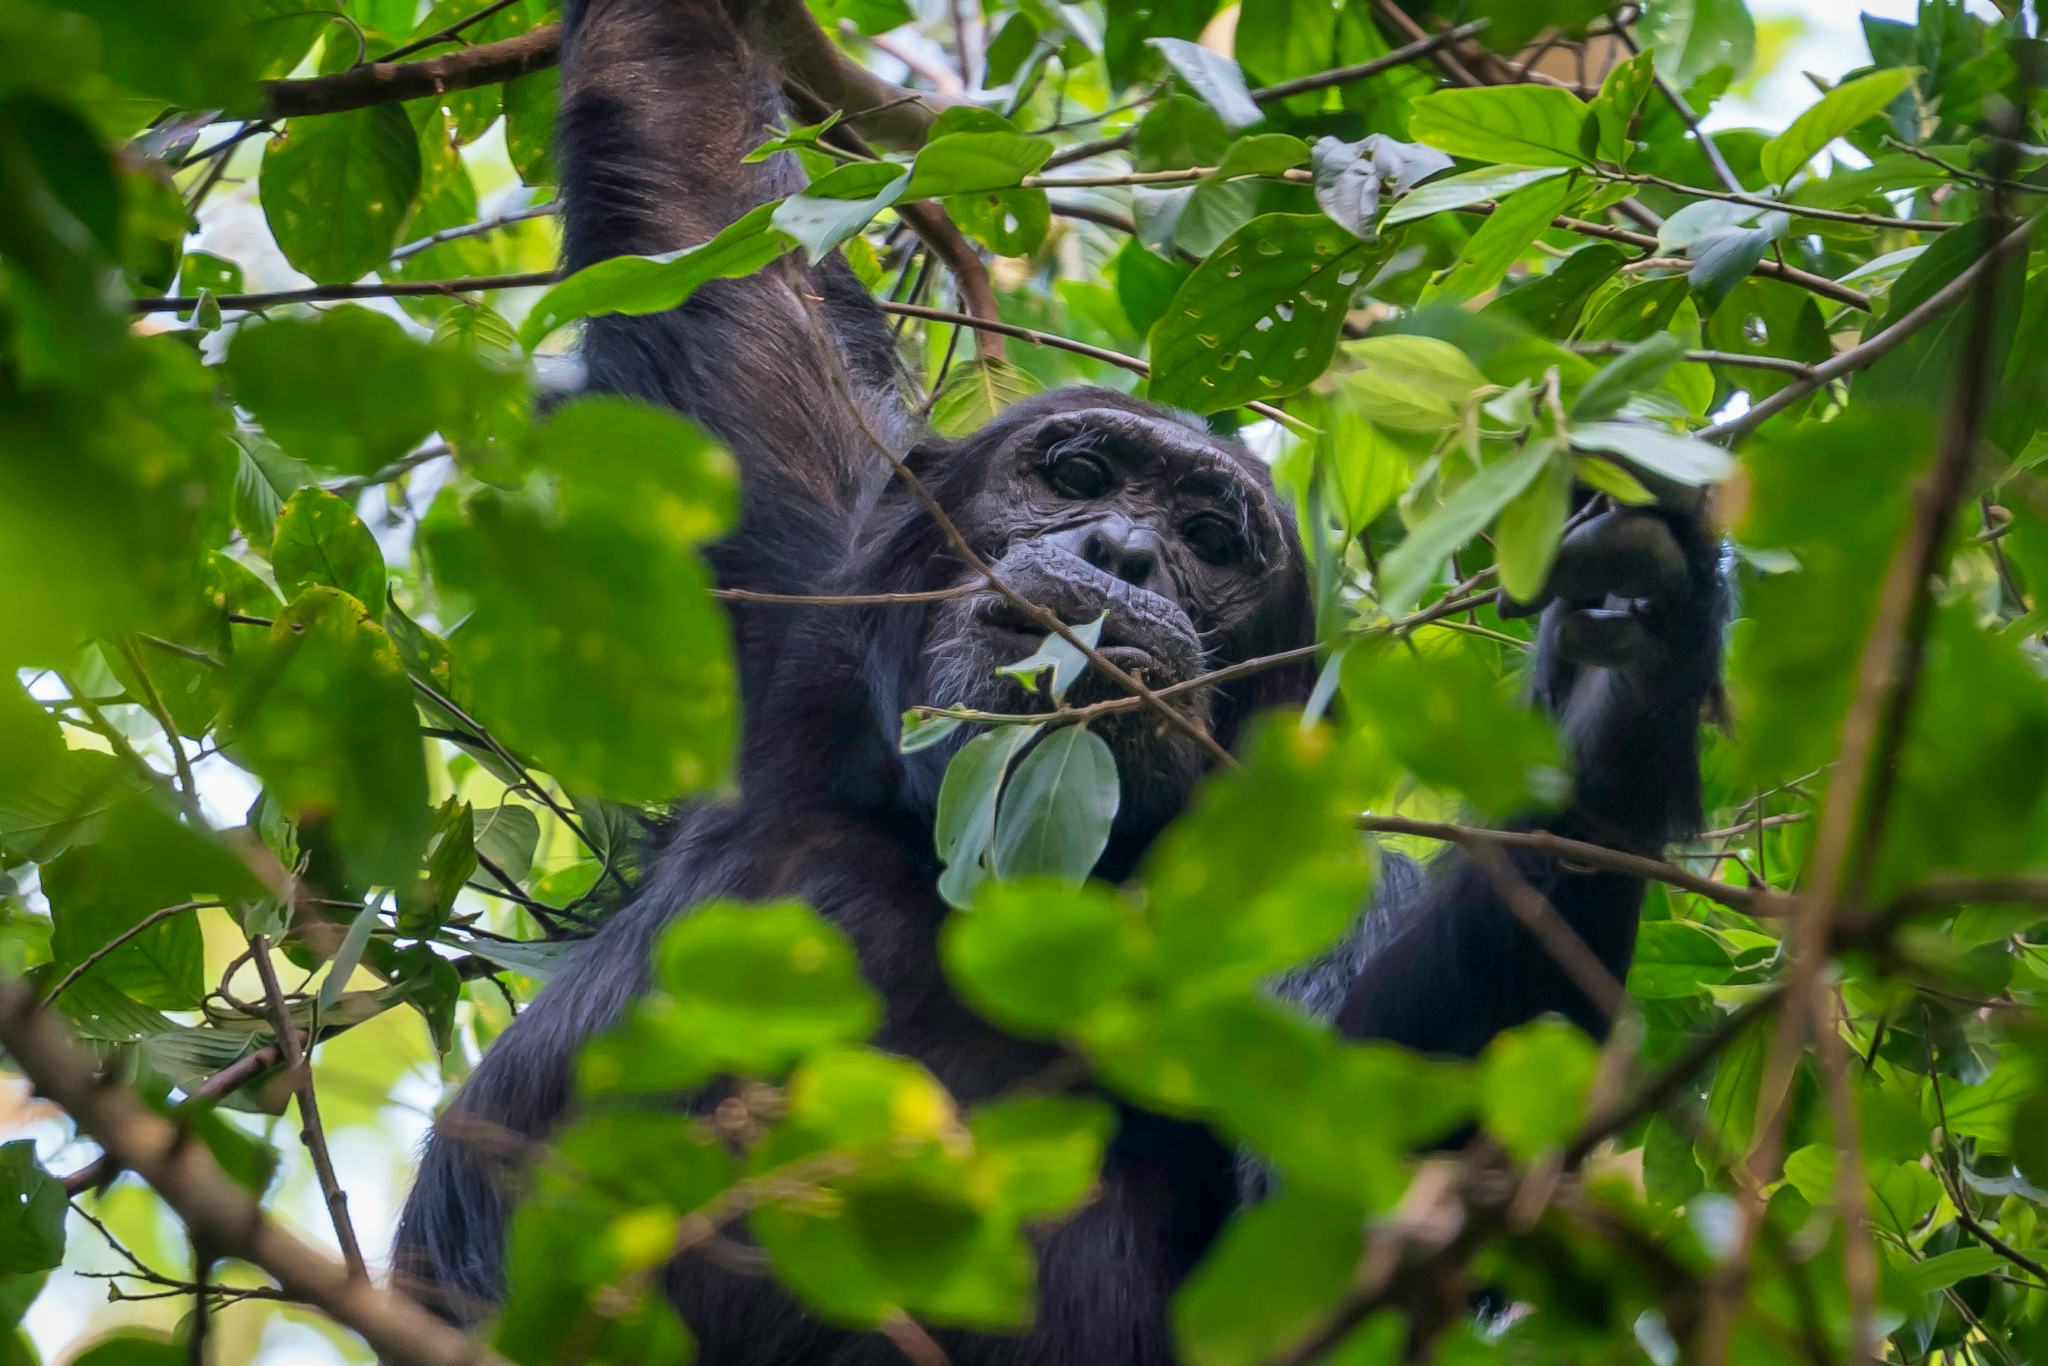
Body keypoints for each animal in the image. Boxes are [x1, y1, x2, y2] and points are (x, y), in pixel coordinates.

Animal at [387, 0, 1728, 1359]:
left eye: (1209, 539)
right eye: (1078, 476)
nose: (1123, 550)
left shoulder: (1343, 891)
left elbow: (1344, 1175)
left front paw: (1616, 692)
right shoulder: (798, 561)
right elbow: (698, 188)